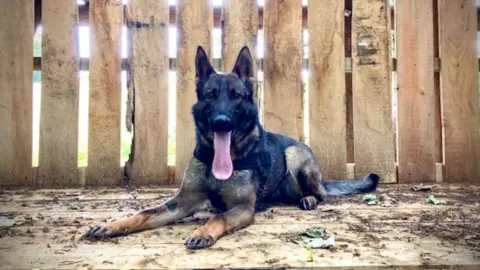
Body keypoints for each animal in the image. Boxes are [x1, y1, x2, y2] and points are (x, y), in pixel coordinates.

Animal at [85, 46, 378, 249]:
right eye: (210, 95)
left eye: (236, 96)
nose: (221, 122)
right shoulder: (181, 203)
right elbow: (144, 213)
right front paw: (112, 225)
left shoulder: (243, 208)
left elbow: (221, 219)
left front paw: (203, 232)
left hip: (295, 155)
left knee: (321, 193)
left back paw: (308, 198)